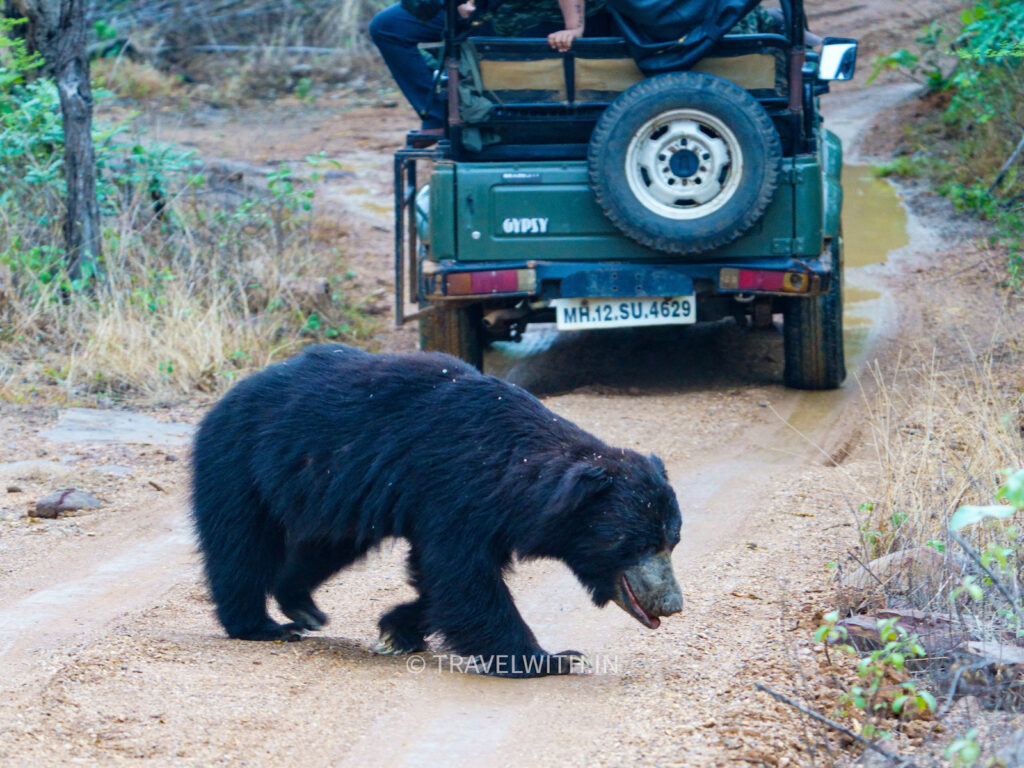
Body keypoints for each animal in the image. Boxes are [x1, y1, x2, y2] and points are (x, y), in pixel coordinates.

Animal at [194, 346, 684, 675]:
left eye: (672, 541)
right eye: (638, 543)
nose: (673, 603)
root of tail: (227, 396)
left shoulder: (485, 513)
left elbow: (443, 579)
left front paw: (398, 627)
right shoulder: (454, 490)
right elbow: (462, 576)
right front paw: (553, 659)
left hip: (334, 489)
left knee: (326, 546)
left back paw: (302, 604)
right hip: (240, 462)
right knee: (239, 545)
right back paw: (261, 625)